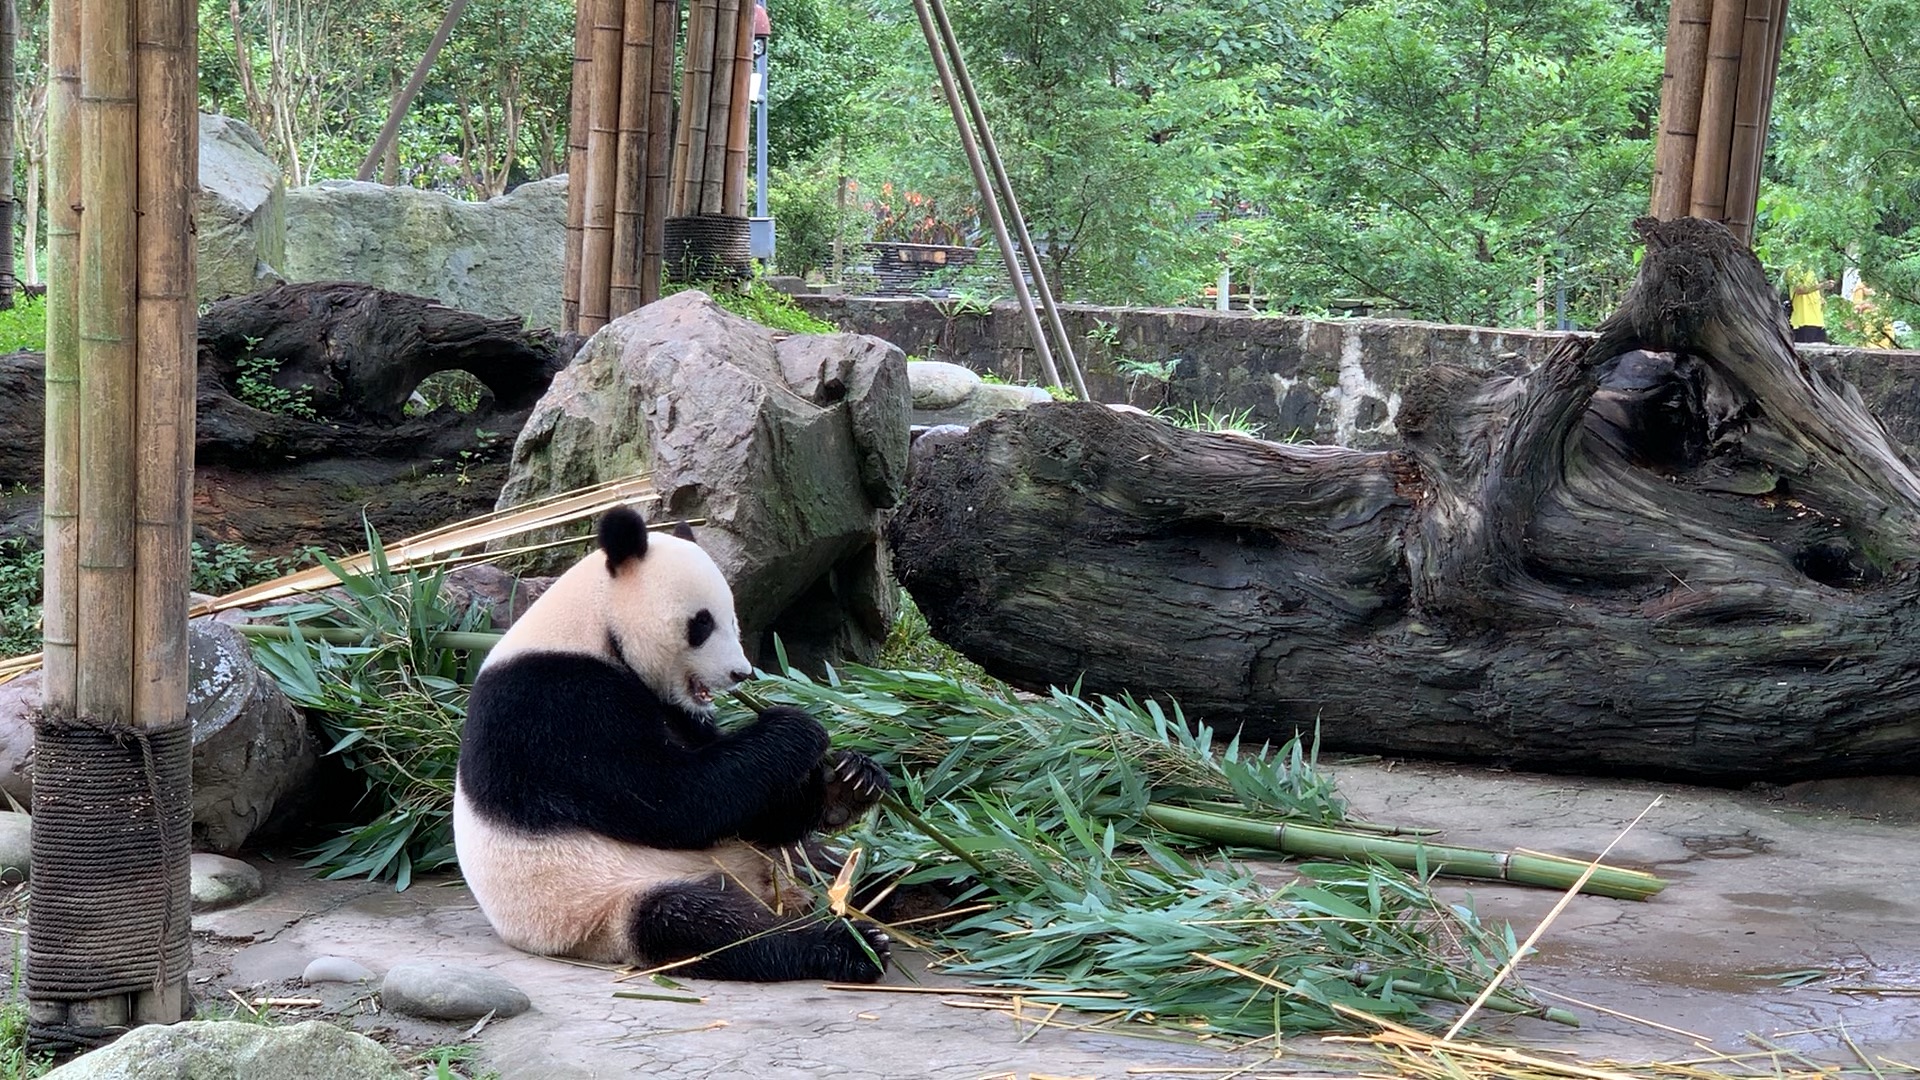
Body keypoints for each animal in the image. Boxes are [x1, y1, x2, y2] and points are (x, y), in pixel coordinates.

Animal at [453, 499, 894, 980]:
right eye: (701, 624)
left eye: (733, 618)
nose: (741, 673)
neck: (593, 625)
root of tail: (764, 889)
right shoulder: (552, 706)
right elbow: (671, 798)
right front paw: (796, 729)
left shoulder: (679, 713)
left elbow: (746, 808)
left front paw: (850, 779)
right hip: (603, 904)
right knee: (699, 922)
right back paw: (848, 945)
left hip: (769, 861)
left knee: (834, 859)